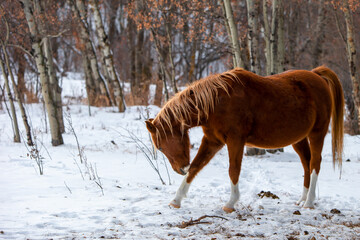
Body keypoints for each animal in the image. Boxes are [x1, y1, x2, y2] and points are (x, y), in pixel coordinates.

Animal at [145, 66, 344, 213]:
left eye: (160, 147)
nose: (179, 169)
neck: (217, 102)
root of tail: (316, 75)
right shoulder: (212, 141)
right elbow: (195, 167)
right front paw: (176, 200)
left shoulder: (235, 140)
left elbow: (233, 170)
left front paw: (230, 203)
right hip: (299, 139)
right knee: (306, 163)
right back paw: (302, 199)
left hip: (317, 133)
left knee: (315, 164)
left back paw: (309, 203)